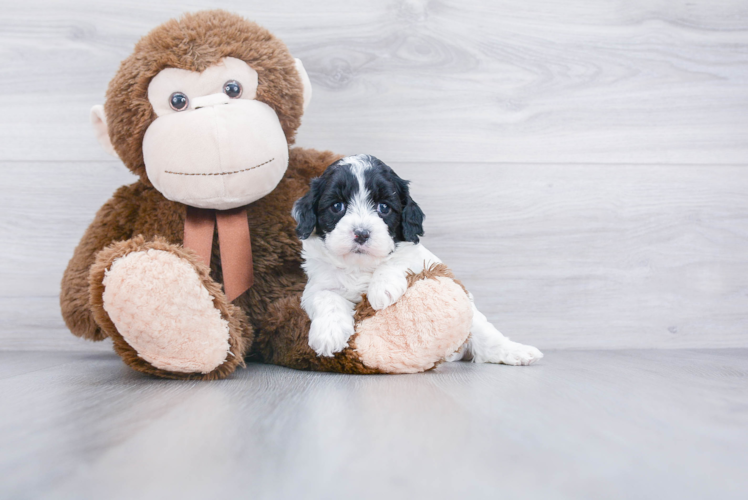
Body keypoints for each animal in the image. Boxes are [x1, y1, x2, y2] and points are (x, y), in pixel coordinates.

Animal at [290, 154, 540, 366]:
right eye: (337, 206)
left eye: (383, 207)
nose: (361, 233)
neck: (360, 266)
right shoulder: (316, 285)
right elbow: (325, 297)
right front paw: (329, 335)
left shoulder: (421, 258)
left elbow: (401, 258)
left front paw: (382, 288)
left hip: (473, 317)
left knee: (486, 336)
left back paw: (517, 352)